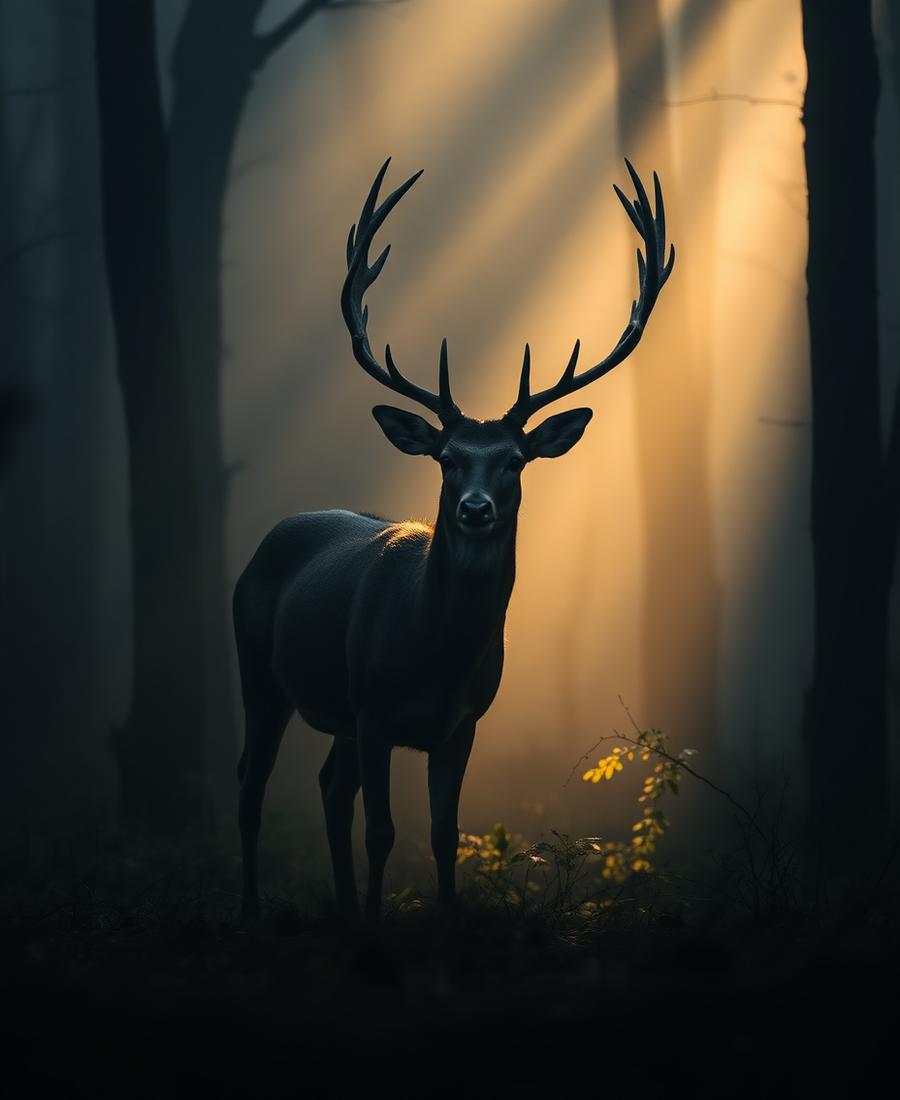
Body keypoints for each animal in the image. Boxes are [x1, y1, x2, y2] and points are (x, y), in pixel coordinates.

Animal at [234, 157, 674, 924]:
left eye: (515, 461)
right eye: (446, 458)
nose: (474, 509)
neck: (434, 652)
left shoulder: (462, 722)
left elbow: (445, 833)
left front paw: (436, 917)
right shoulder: (374, 707)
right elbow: (384, 831)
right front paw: (378, 925)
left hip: (332, 711)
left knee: (327, 788)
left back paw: (341, 908)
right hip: (259, 672)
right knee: (251, 788)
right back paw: (258, 908)